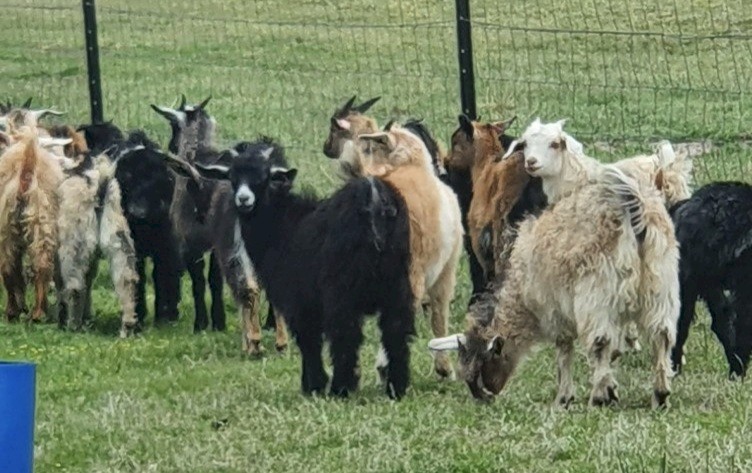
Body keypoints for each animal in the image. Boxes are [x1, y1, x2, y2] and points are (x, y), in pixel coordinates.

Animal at [430, 167, 680, 409]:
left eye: (482, 364)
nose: (483, 398)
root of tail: (633, 208)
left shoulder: (555, 311)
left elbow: (564, 352)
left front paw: (566, 397)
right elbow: (616, 351)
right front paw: (612, 389)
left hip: (596, 293)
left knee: (601, 341)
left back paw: (598, 397)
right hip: (660, 286)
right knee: (662, 335)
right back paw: (660, 394)